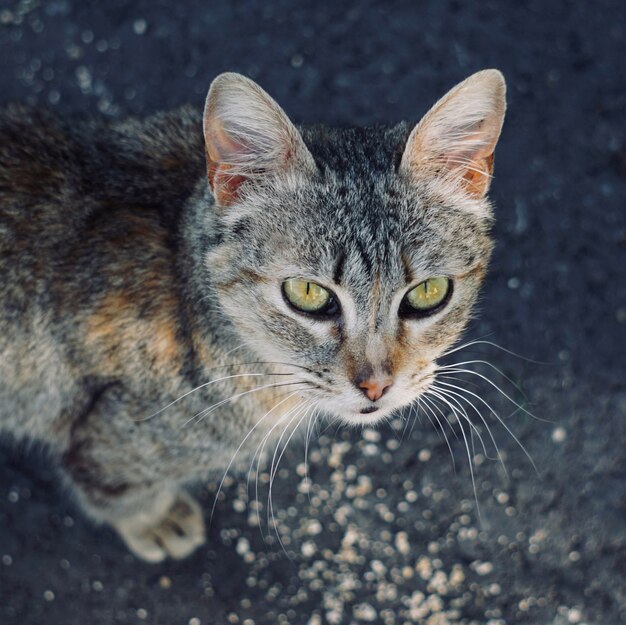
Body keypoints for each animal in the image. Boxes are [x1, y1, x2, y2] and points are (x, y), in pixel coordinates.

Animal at [0, 68, 502, 560]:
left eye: (428, 293)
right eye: (307, 293)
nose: (377, 385)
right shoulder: (108, 442)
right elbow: (121, 491)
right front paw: (157, 522)